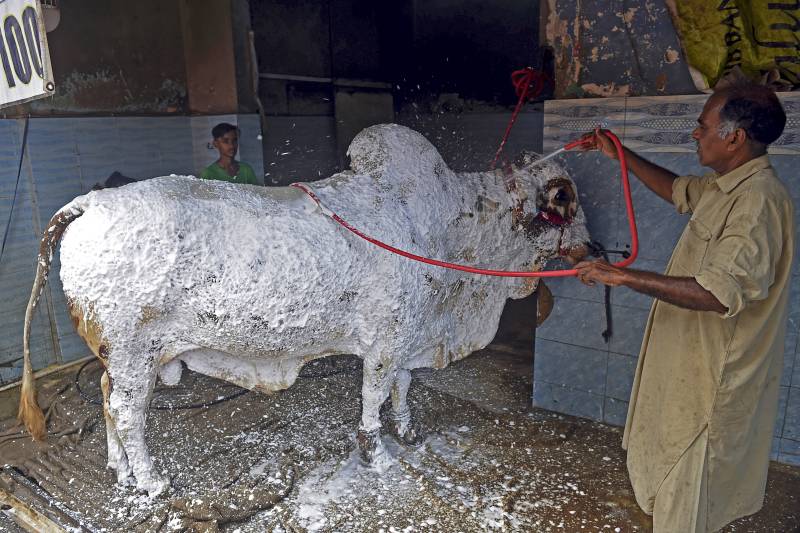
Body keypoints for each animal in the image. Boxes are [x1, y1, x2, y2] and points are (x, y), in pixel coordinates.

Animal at [17, 123, 588, 494]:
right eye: (565, 199)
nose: (590, 249)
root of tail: (89, 203)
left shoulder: (410, 334)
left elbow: (403, 387)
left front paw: (406, 430)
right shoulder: (384, 342)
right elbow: (374, 396)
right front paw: (376, 453)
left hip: (122, 357)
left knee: (105, 397)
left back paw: (120, 471)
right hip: (135, 355)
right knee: (125, 413)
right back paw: (151, 481)